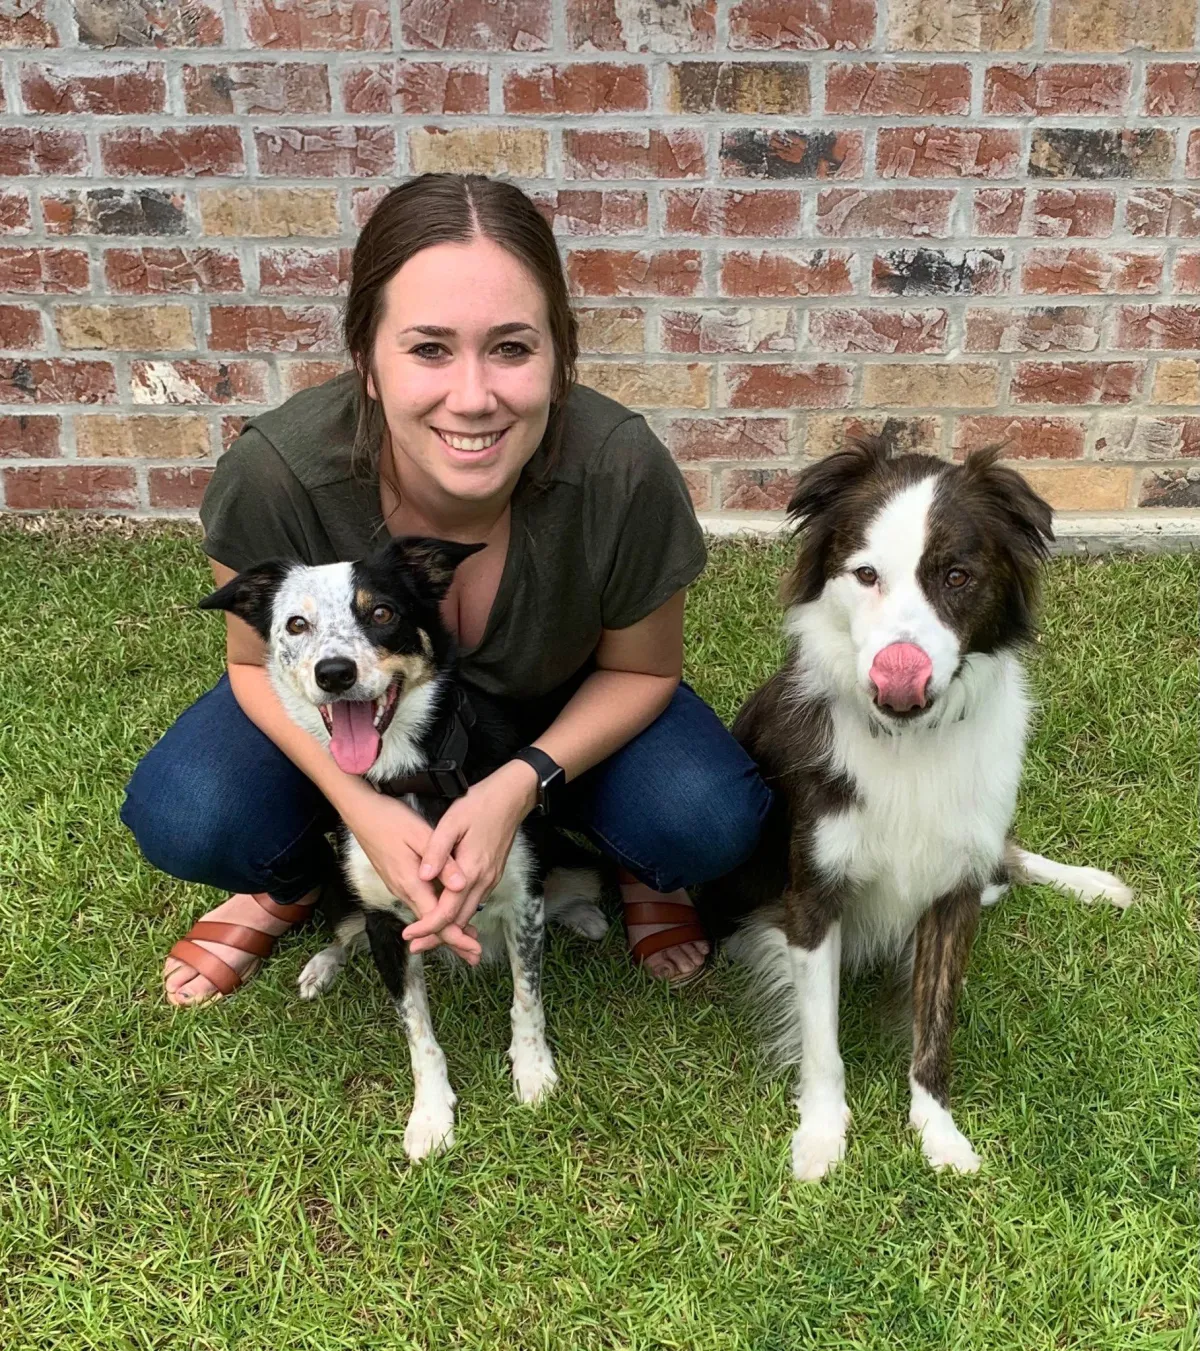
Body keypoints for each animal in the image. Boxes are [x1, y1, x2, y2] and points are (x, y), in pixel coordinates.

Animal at [202, 537, 608, 1161]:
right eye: (296, 624)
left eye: (382, 612)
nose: (334, 672)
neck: (409, 772)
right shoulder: (388, 923)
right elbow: (418, 1032)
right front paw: (431, 1115)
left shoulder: (522, 900)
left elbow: (527, 999)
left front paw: (533, 1073)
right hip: (347, 888)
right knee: (342, 931)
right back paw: (321, 967)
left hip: (575, 862)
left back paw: (587, 917)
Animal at [697, 440, 1129, 1183]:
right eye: (866, 574)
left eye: (957, 576)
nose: (899, 672)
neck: (909, 743)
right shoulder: (812, 897)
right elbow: (821, 1037)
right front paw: (821, 1135)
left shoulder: (953, 891)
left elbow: (936, 1028)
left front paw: (938, 1133)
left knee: (1008, 857)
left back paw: (1097, 884)